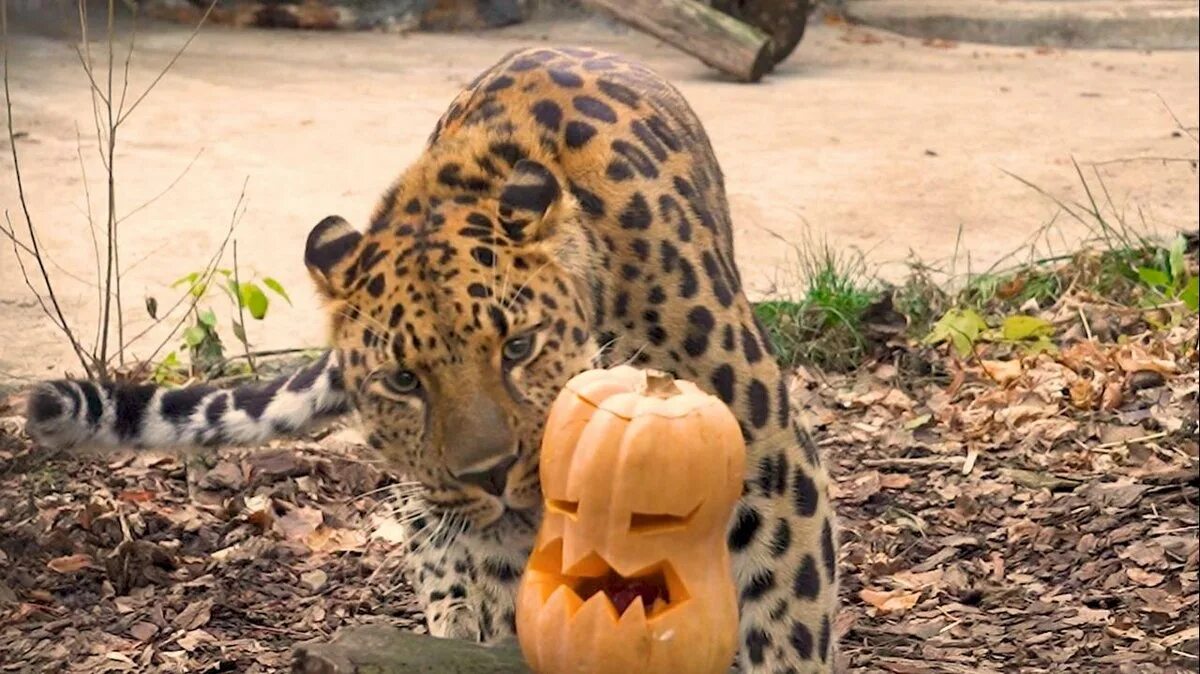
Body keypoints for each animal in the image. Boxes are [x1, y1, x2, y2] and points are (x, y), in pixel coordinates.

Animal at [23, 44, 840, 666]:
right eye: (402, 380)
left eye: (518, 346)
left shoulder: (772, 467)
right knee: (428, 532)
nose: (491, 474)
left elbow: (788, 624)